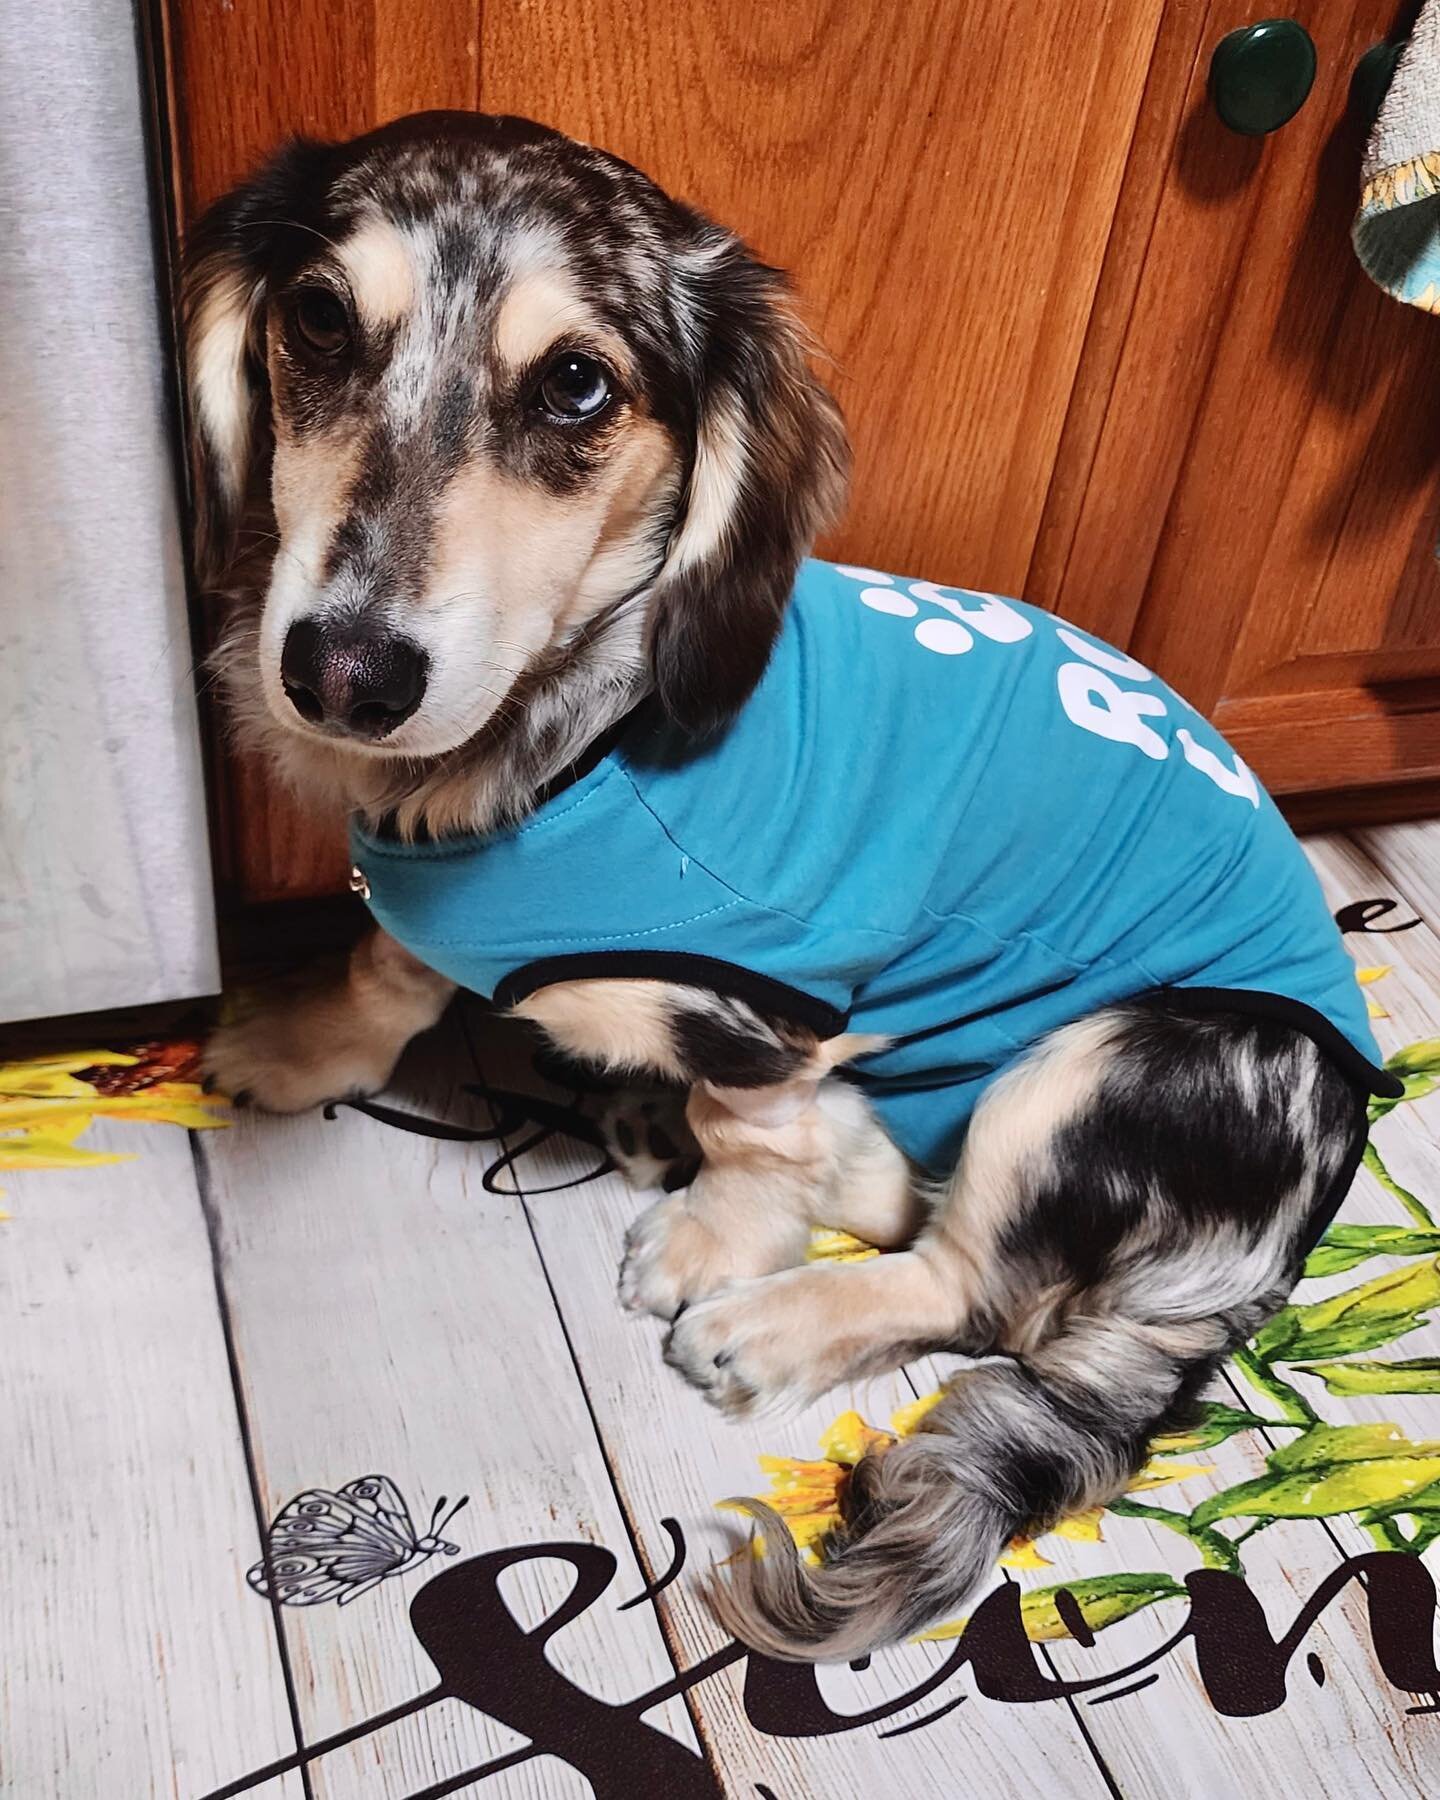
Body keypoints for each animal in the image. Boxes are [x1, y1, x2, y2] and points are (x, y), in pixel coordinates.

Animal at [185, 112, 1404, 1656]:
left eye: (576, 383)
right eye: (321, 321)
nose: (343, 674)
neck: (571, 743)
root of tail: (1302, 1201)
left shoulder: (773, 998)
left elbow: (747, 1126)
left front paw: (720, 1241)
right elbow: (388, 970)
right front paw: (301, 1044)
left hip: (1114, 1059)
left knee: (975, 1287)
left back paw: (775, 1315)